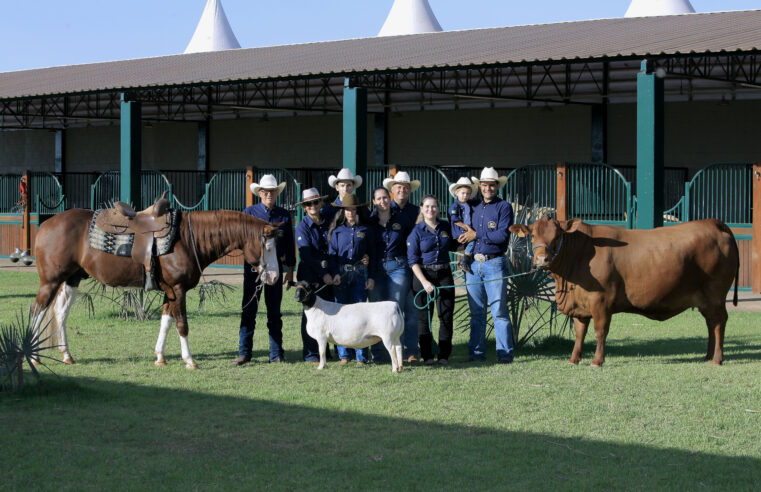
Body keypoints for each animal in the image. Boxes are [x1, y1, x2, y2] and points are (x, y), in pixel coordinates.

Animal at [32, 208, 280, 368]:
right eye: (267, 247)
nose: (275, 276)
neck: (187, 240)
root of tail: (45, 225)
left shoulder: (169, 291)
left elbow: (166, 322)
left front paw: (160, 357)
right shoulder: (178, 290)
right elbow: (182, 325)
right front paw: (189, 360)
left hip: (71, 280)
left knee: (60, 313)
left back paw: (67, 355)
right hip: (50, 281)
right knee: (38, 310)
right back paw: (34, 357)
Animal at [510, 218, 736, 366]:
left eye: (557, 236)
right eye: (533, 235)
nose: (542, 259)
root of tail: (713, 223)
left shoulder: (600, 301)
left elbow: (600, 331)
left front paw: (597, 361)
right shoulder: (580, 305)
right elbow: (579, 333)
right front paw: (574, 359)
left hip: (715, 295)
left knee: (719, 323)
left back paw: (717, 359)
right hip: (705, 300)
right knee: (711, 323)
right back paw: (708, 356)